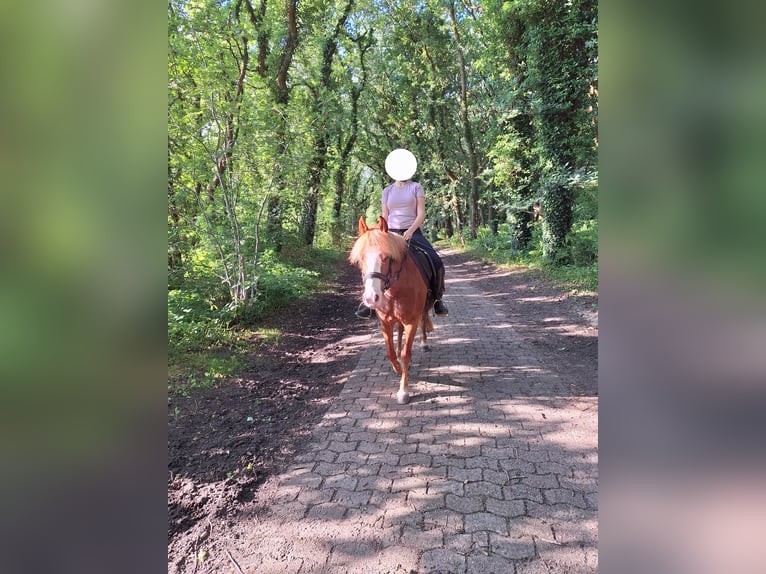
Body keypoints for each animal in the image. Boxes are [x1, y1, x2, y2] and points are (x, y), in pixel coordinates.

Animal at [352, 216, 436, 404]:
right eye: (361, 259)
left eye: (385, 257)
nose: (371, 298)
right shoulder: (384, 322)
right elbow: (389, 352)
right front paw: (396, 367)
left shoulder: (411, 321)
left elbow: (406, 354)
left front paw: (403, 391)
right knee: (399, 331)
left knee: (423, 318)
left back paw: (424, 343)